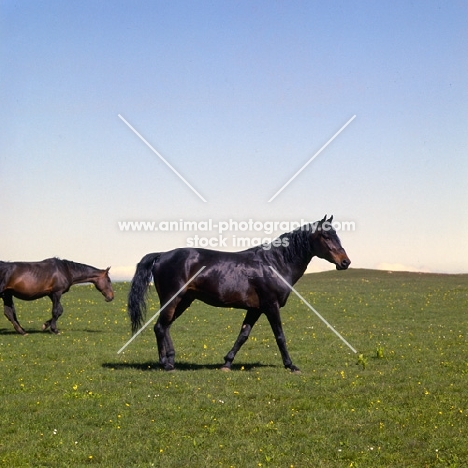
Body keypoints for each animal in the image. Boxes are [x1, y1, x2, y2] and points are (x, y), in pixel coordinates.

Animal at [128, 216, 352, 372]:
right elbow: (280, 336)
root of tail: (162, 255)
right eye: (326, 236)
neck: (275, 263)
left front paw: (227, 363)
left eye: (336, 235)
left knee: (164, 327)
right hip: (173, 299)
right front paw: (291, 365)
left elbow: (243, 335)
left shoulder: (255, 309)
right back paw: (166, 363)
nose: (345, 262)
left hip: (184, 301)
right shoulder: (271, 306)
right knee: (160, 327)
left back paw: (170, 360)